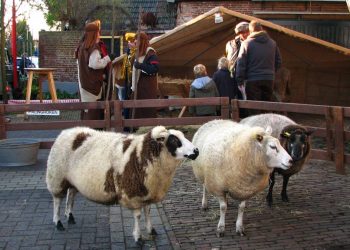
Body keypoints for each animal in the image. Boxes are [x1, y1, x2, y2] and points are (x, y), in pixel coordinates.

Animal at [46, 126, 198, 245]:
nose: (196, 151)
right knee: (57, 201)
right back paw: (58, 222)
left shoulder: (147, 191)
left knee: (71, 195)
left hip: (71, 180)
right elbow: (138, 216)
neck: (143, 154)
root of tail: (66, 131)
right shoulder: (133, 194)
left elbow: (148, 211)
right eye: (174, 140)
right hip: (56, 177)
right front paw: (138, 237)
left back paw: (70, 216)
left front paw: (151, 230)